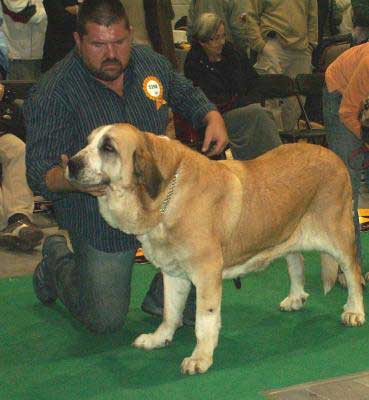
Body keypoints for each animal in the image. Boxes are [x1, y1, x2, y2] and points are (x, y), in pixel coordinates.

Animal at [67, 122, 366, 376]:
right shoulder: (173, 274)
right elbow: (170, 312)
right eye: (87, 142)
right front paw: (159, 338)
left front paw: (200, 358)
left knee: (353, 272)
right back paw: (295, 298)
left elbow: (204, 320)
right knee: (297, 261)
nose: (70, 163)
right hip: (285, 231)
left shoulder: (206, 274)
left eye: (108, 147)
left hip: (338, 234)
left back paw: (354, 311)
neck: (167, 195)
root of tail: (331, 154)